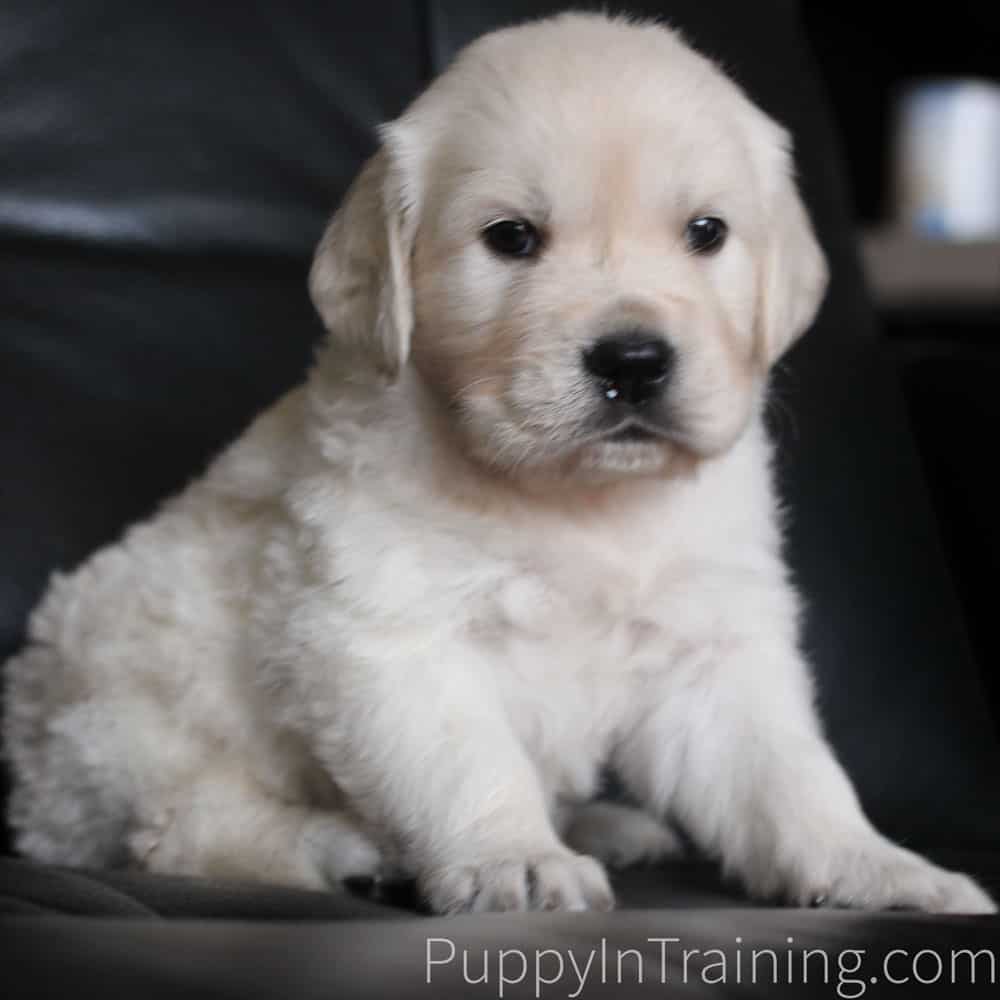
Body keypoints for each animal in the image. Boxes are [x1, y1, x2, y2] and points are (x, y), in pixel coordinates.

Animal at [3, 11, 996, 916]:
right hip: (127, 724)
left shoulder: (708, 646)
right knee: (183, 828)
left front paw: (879, 869)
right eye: (512, 238)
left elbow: (788, 777)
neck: (575, 502)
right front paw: (512, 861)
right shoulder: (384, 629)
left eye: (707, 232)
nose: (634, 362)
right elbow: (466, 763)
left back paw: (609, 823)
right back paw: (350, 851)